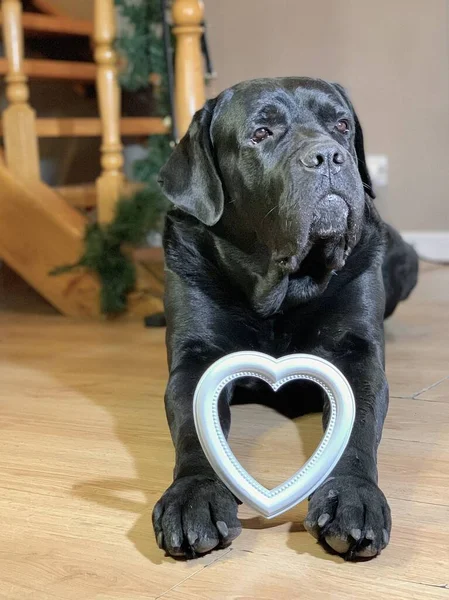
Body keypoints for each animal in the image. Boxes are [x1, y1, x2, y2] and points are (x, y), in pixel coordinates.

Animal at [152, 77, 418, 560]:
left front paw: (352, 496)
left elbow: (358, 424)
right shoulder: (195, 359)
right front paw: (194, 495)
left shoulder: (357, 354)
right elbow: (193, 427)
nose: (328, 155)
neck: (280, 290)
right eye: (261, 134)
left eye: (342, 125)